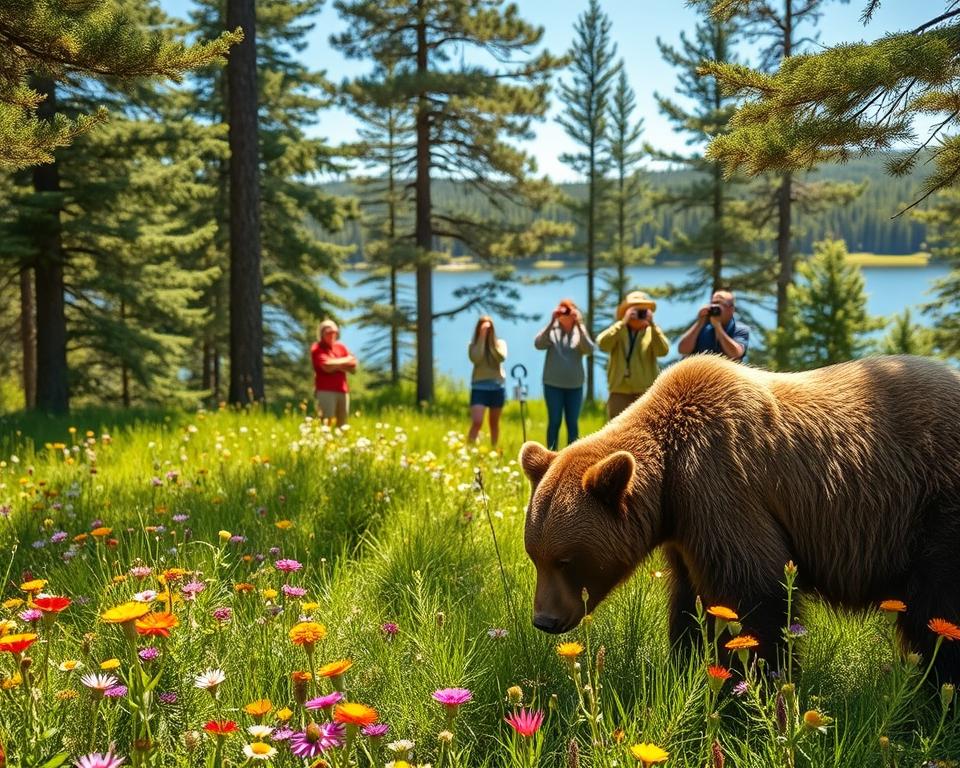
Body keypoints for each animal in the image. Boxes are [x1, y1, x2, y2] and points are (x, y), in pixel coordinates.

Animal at [520, 354, 960, 681]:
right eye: (534, 556)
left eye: (565, 560)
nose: (544, 620)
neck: (670, 480)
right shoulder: (686, 531)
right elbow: (690, 602)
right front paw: (685, 667)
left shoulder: (723, 485)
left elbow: (751, 595)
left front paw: (750, 685)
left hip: (934, 507)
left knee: (937, 610)